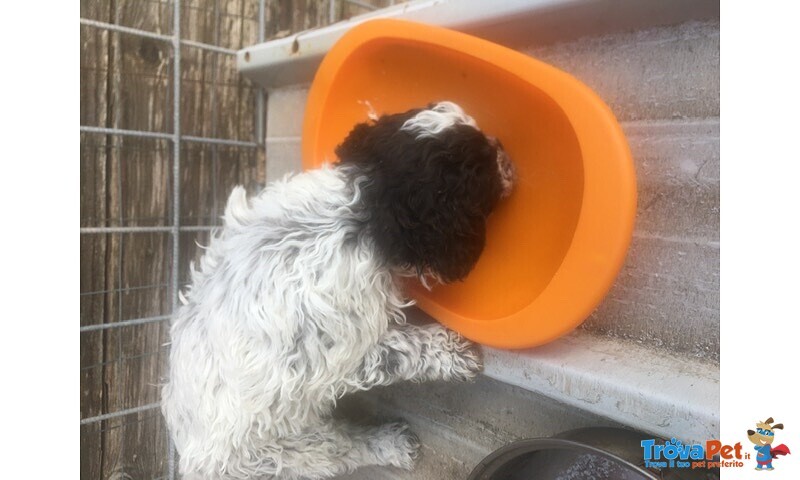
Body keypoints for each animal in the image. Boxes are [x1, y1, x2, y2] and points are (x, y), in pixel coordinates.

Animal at [161, 102, 520, 480]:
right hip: (288, 448)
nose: (507, 154)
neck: (361, 203)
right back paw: (390, 444)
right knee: (340, 449)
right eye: (480, 168)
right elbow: (401, 350)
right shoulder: (343, 350)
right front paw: (456, 354)